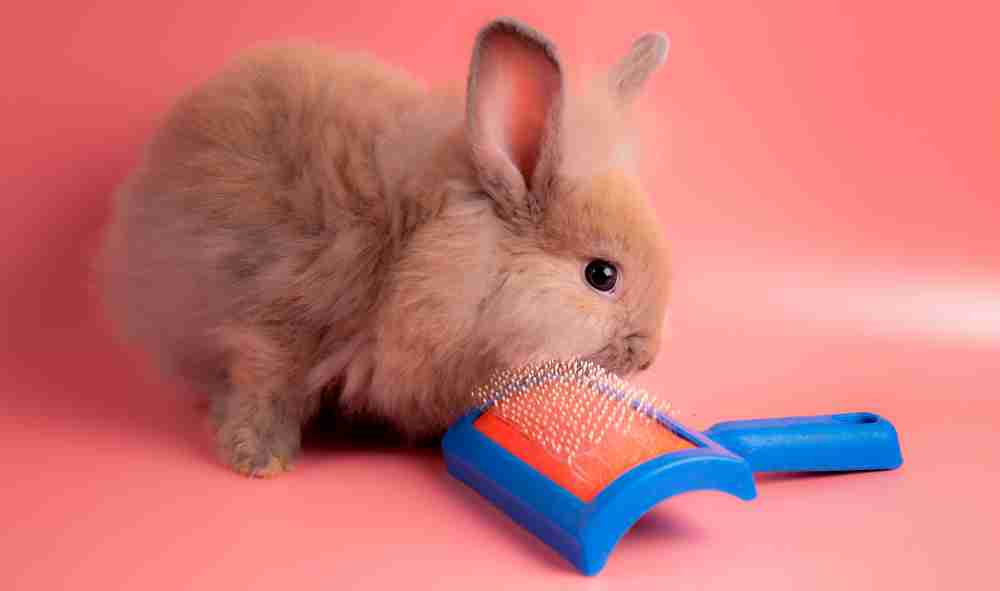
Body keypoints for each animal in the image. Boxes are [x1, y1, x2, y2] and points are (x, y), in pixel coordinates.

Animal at [97, 16, 672, 478]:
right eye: (601, 275)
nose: (646, 357)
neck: (409, 249)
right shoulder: (276, 317)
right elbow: (263, 383)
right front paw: (260, 460)